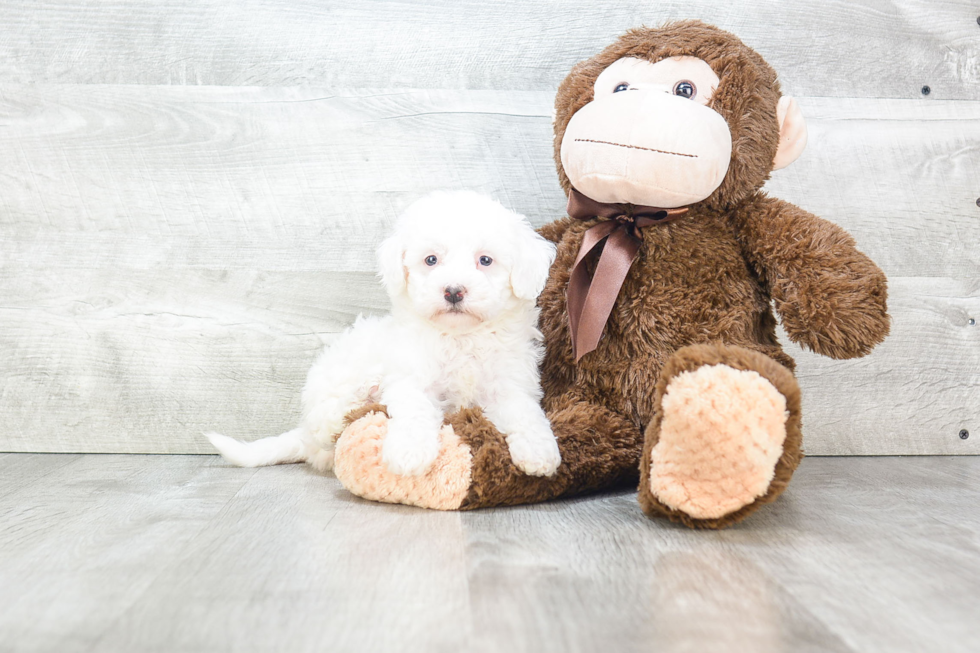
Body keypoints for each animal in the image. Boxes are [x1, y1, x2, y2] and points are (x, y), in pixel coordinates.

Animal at [207, 191, 560, 476]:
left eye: (485, 260)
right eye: (431, 260)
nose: (453, 291)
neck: (460, 337)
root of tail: (304, 431)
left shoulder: (510, 384)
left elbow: (525, 413)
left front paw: (540, 450)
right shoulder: (411, 378)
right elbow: (415, 411)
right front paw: (409, 452)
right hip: (338, 390)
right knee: (330, 434)